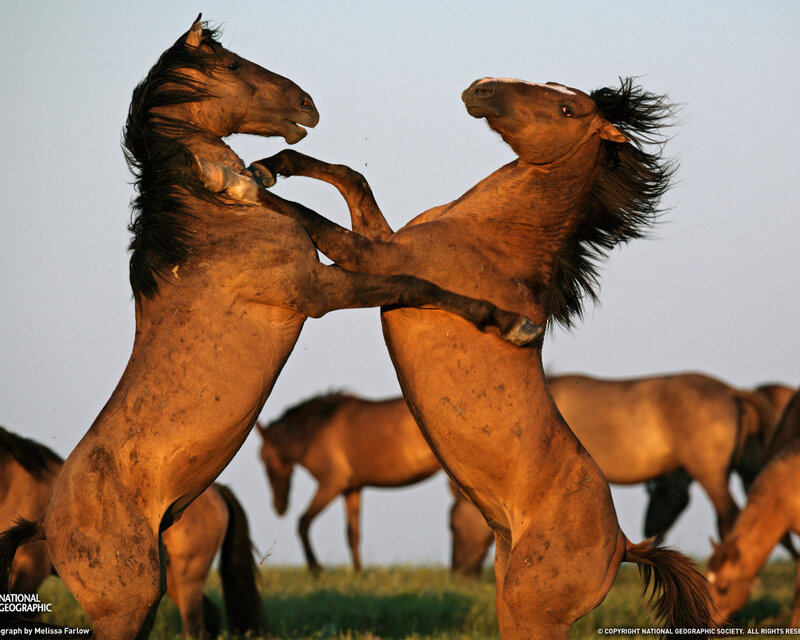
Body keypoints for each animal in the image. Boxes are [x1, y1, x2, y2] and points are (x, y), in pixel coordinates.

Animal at [0, 427, 262, 638]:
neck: (19, 488)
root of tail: (218, 492)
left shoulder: (32, 570)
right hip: (169, 577)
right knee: (210, 614)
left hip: (189, 573)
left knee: (195, 624)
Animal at [256, 392, 441, 574]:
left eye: (263, 459)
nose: (279, 508)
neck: (317, 428)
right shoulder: (352, 489)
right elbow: (353, 534)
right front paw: (359, 573)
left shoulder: (332, 484)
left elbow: (303, 523)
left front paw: (316, 568)